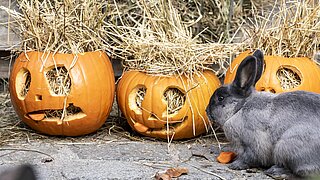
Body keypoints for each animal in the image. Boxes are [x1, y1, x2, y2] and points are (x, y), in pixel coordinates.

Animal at [206, 49, 320, 179]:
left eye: (221, 98)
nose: (206, 111)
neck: (240, 108)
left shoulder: (254, 143)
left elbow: (250, 157)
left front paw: (235, 165)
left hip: (287, 147)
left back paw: (276, 171)